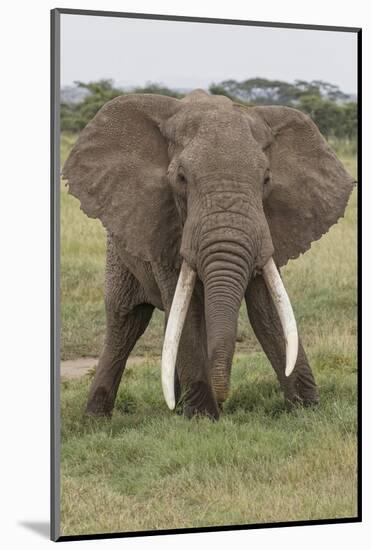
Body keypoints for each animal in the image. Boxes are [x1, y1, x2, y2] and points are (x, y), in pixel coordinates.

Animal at [63, 89, 354, 422]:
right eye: (181, 178)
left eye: (266, 179)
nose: (223, 397)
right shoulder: (164, 225)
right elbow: (186, 311)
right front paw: (203, 417)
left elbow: (267, 309)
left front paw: (307, 411)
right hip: (120, 246)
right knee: (125, 320)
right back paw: (97, 419)